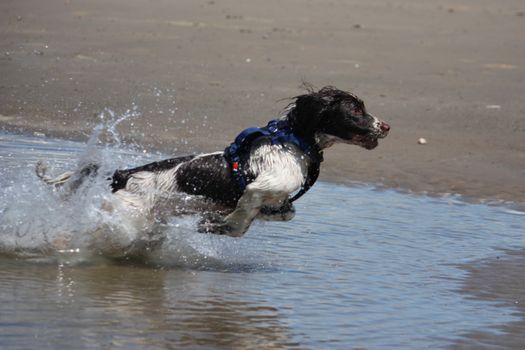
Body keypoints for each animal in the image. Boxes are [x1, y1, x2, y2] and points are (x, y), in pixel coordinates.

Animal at [36, 86, 388, 238]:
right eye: (355, 110)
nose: (385, 126)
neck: (295, 144)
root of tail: (123, 173)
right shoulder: (261, 186)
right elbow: (240, 222)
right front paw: (219, 225)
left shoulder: (277, 199)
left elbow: (284, 212)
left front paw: (215, 221)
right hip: (129, 214)